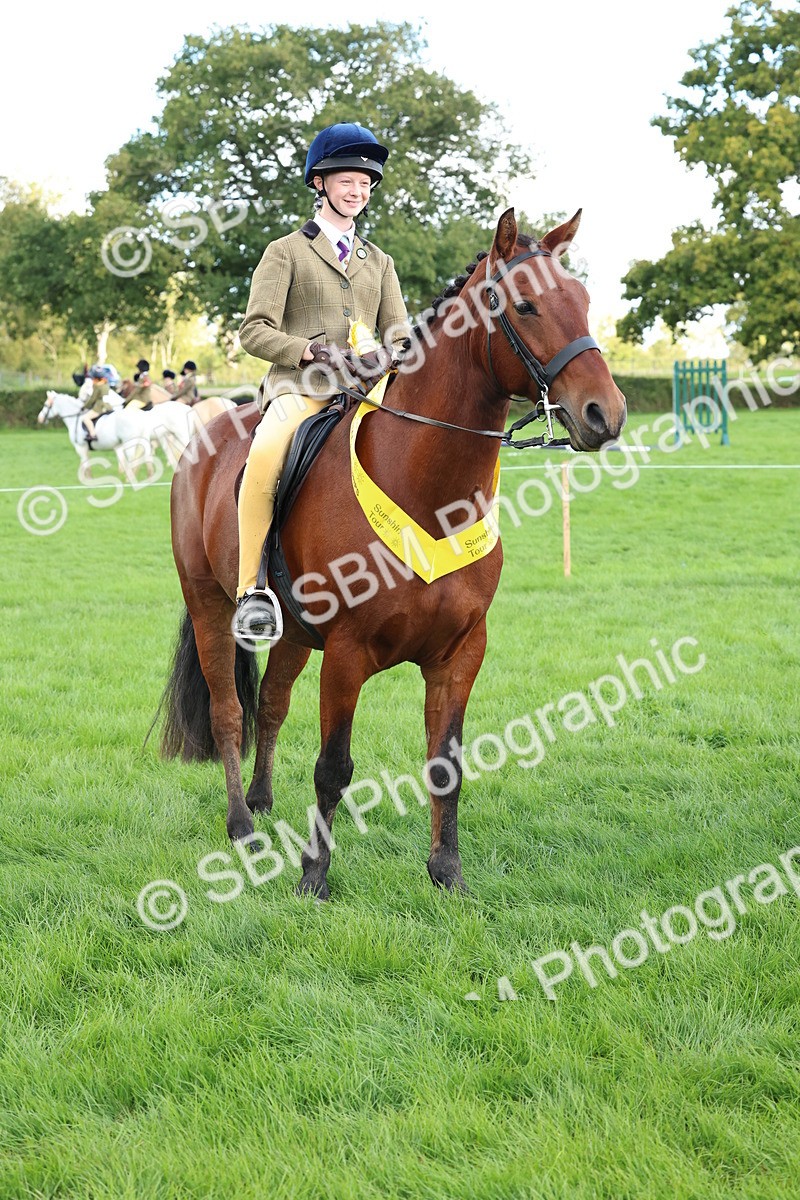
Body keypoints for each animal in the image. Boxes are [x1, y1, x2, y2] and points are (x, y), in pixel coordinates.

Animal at [160, 209, 627, 900]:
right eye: (526, 305)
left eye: (585, 301)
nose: (606, 414)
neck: (426, 490)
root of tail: (207, 433)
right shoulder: (347, 654)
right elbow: (333, 766)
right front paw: (314, 877)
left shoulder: (460, 654)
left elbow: (446, 764)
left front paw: (446, 872)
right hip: (209, 604)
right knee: (227, 712)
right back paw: (242, 825)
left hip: (295, 632)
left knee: (270, 704)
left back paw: (264, 802)